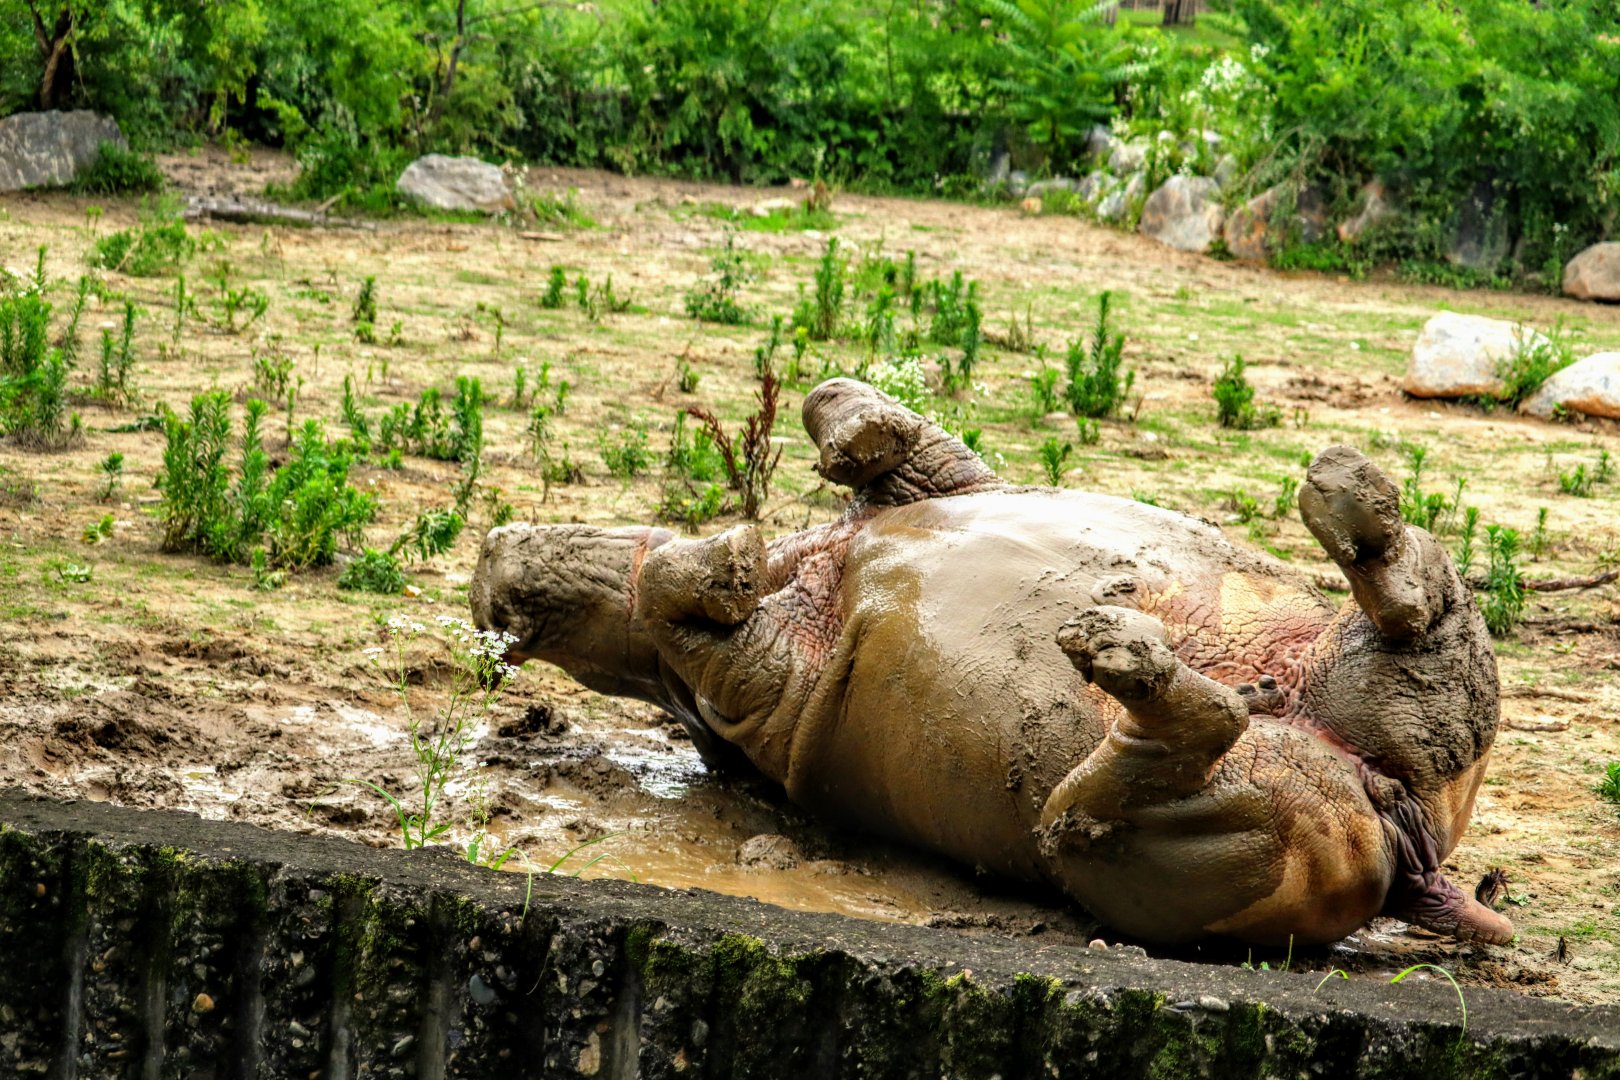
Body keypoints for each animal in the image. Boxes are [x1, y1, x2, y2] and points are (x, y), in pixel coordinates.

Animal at [472, 379, 1511, 948]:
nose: (493, 556)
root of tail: (1408, 821)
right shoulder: (751, 692)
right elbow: (668, 597)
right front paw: (722, 558)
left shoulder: (935, 479)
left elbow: (848, 408)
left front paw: (821, 465)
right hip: (1266, 834)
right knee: (1130, 788)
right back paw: (1132, 656)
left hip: (1353, 712)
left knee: (1408, 615)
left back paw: (1340, 507)